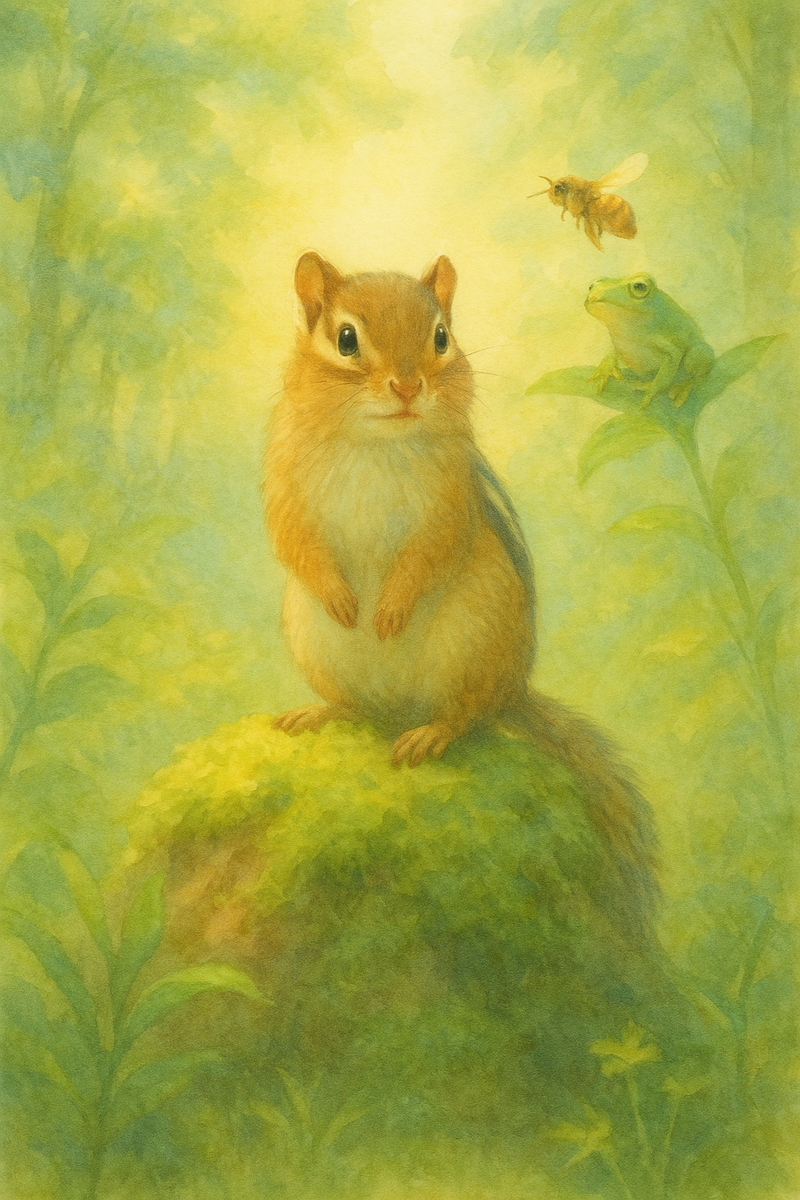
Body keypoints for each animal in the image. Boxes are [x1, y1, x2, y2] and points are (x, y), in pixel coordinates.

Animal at [264, 251, 657, 891]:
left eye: (441, 337)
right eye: (346, 339)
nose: (407, 386)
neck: (376, 438)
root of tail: (514, 691)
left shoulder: (451, 501)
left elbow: (432, 552)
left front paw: (389, 612)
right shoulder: (284, 482)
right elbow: (294, 540)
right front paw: (345, 601)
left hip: (472, 642)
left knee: (468, 716)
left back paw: (430, 733)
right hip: (315, 643)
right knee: (357, 708)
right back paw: (318, 712)